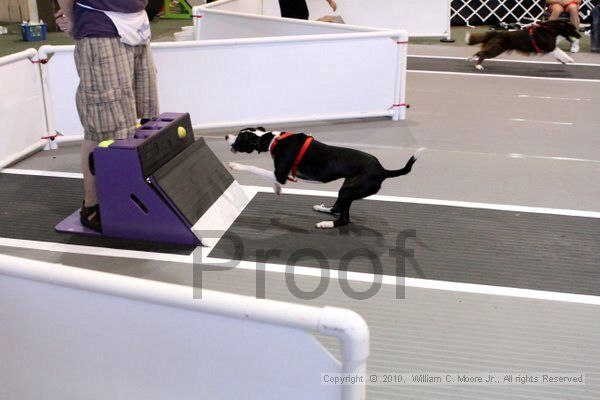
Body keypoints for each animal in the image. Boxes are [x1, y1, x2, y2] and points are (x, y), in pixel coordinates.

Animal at [226, 127, 422, 228]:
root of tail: (383, 170)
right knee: (337, 209)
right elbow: (272, 180)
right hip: (346, 188)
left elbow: (255, 168)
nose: (227, 135)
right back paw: (323, 209)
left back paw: (326, 224)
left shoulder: (280, 174)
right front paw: (276, 188)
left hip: (348, 190)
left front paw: (235, 166)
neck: (272, 140)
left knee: (344, 219)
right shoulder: (281, 175)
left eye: (240, 138)